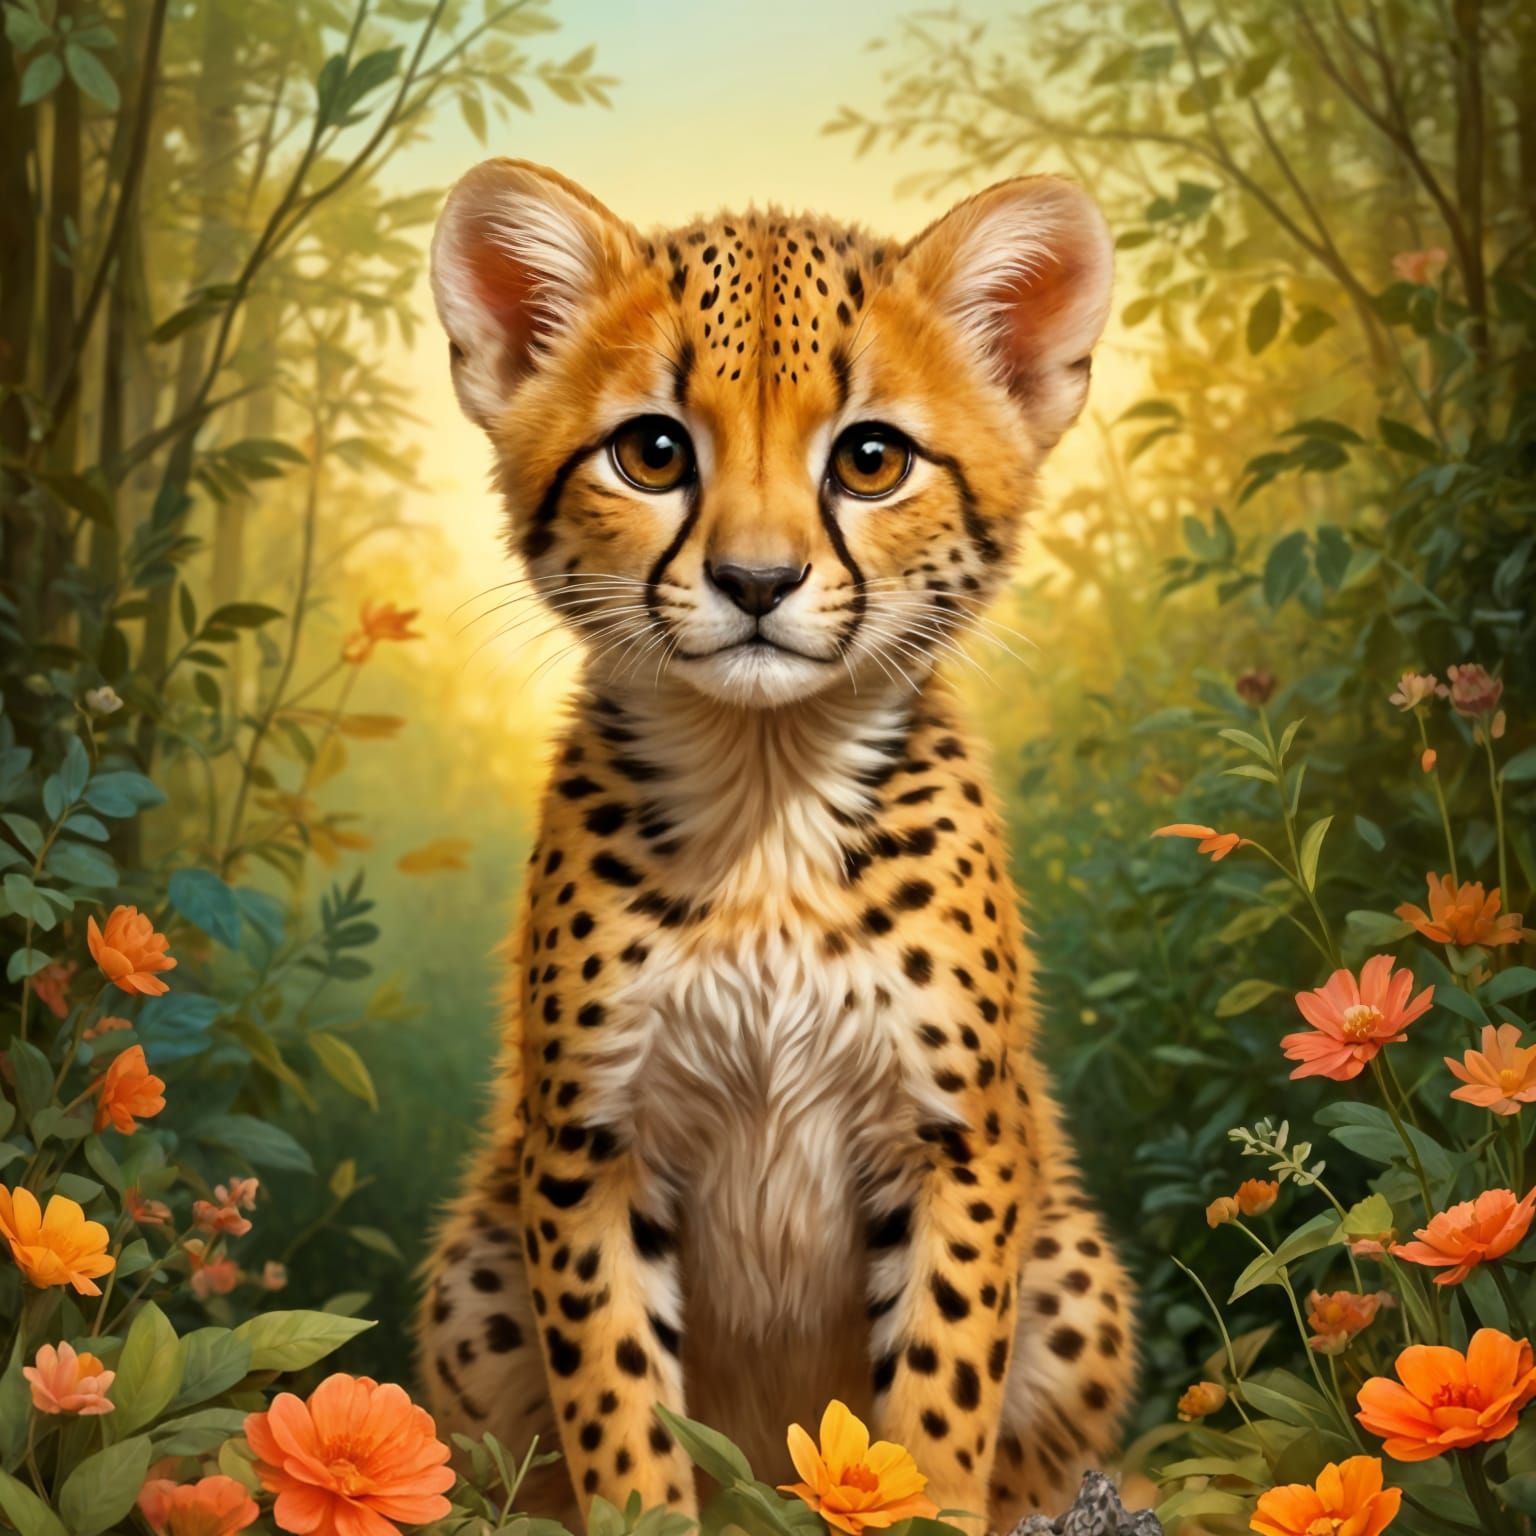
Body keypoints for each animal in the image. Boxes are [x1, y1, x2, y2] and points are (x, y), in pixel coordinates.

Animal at [417, 158, 1136, 1533]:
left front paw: (922, 1496)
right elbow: (620, 1405)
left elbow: (940, 1397)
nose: (757, 582)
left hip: (1077, 1275)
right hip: (472, 1282)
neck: (767, 804)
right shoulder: (587, 1145)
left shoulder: (954, 1142)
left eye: (870, 459)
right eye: (652, 453)